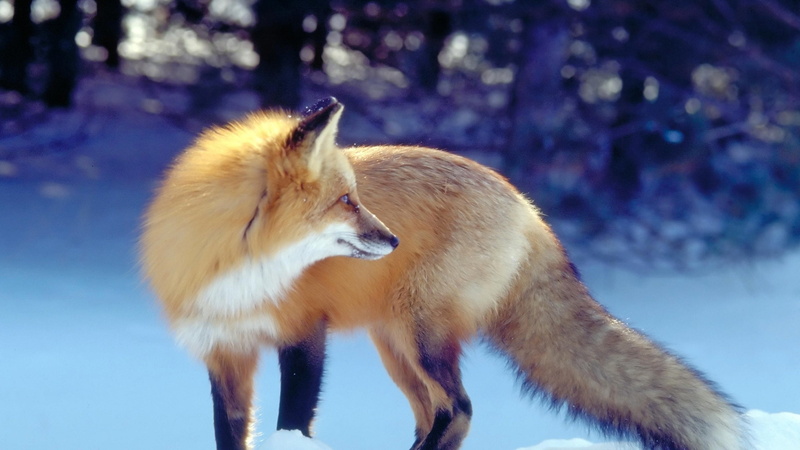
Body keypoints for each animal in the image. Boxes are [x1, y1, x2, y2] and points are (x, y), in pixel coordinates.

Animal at [140, 97, 747, 450]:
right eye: (345, 201)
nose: (392, 240)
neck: (239, 270)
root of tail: (528, 207)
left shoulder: (304, 334)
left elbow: (293, 422)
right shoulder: (224, 350)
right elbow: (229, 433)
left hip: (421, 334)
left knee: (459, 410)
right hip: (395, 345)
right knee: (433, 413)